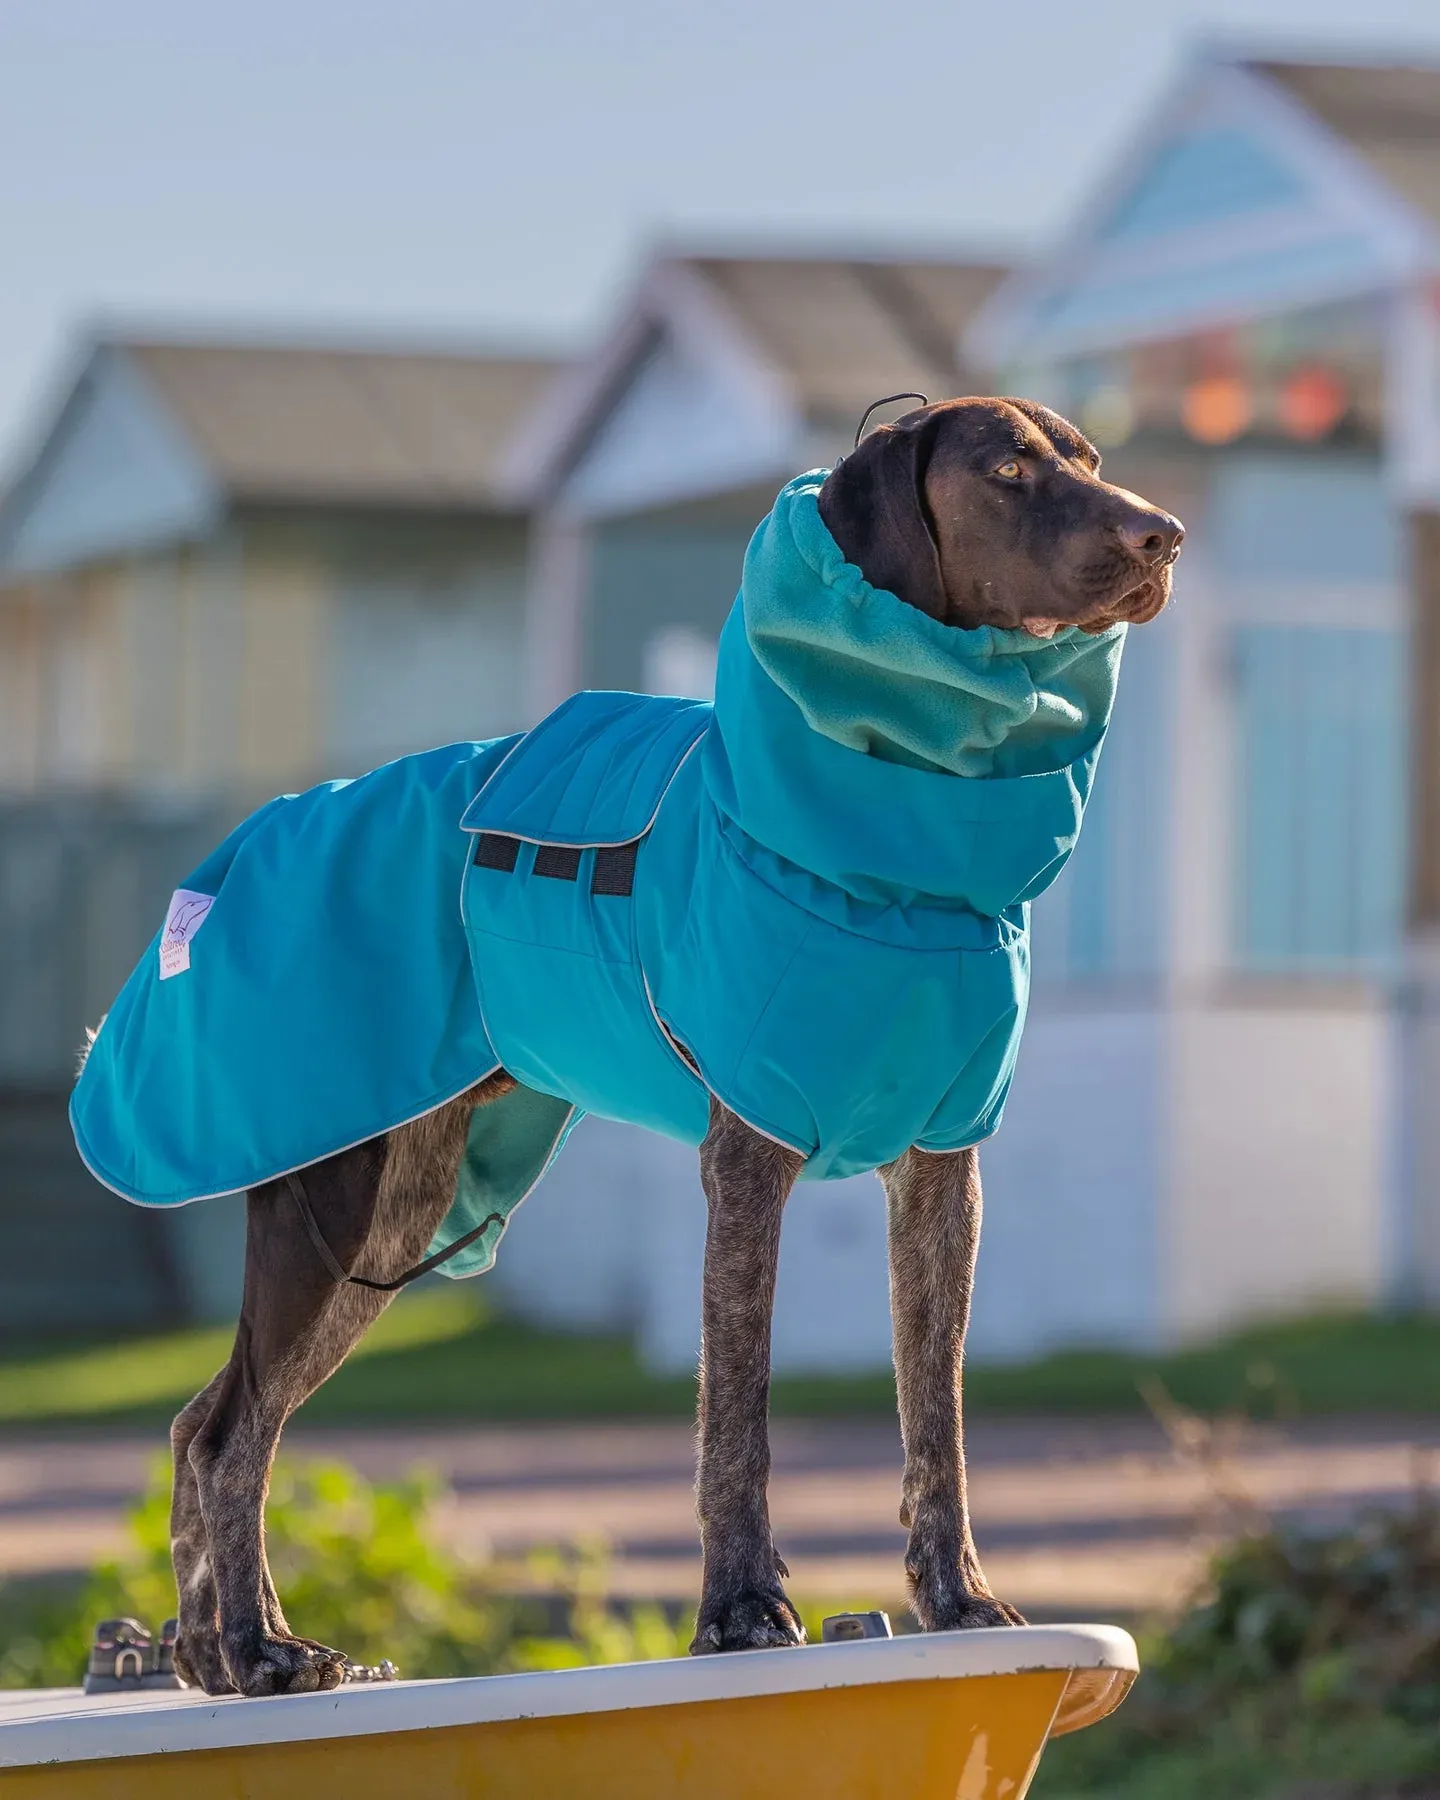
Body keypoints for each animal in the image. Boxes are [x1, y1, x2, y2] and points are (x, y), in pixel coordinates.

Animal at [157, 397, 1173, 1699]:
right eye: (1008, 472)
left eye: (1090, 461)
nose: (1164, 535)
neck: (900, 863)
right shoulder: (749, 1160)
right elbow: (735, 1406)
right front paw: (741, 1611)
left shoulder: (943, 1175)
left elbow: (933, 1411)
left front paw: (959, 1601)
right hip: (330, 1205)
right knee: (234, 1435)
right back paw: (259, 1646)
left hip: (392, 1222)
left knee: (207, 1419)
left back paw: (208, 1654)